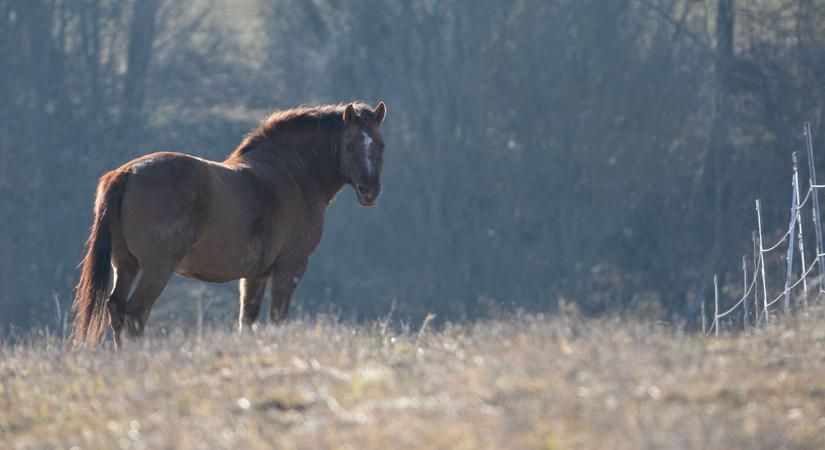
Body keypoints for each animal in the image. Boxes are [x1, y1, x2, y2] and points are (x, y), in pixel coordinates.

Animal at [70, 103, 386, 348]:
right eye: (350, 145)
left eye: (381, 145)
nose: (369, 191)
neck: (292, 174)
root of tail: (128, 172)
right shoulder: (290, 268)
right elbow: (276, 319)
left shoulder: (255, 275)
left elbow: (247, 322)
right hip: (156, 268)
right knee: (136, 312)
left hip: (126, 264)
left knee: (116, 309)